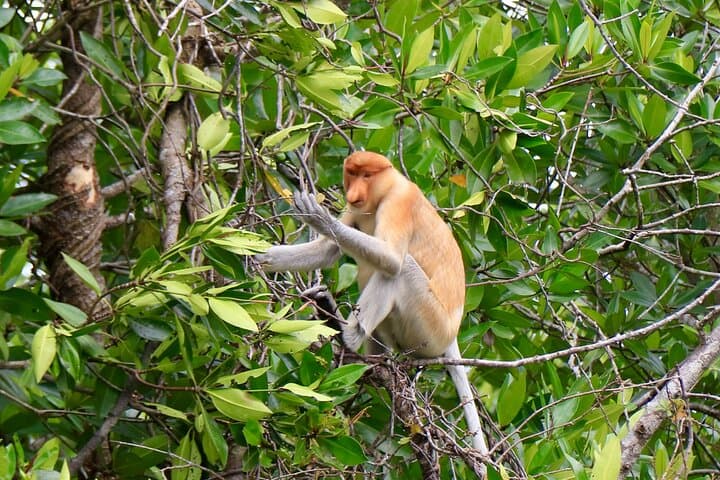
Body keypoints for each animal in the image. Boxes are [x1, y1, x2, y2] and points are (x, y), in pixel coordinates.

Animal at [257, 151, 489, 461]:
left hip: (430, 328)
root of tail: (452, 334)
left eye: (367, 176)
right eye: (352, 174)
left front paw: (317, 216)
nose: (354, 193)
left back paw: (346, 334)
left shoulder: (400, 202)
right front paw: (256, 256)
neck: (384, 191)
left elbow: (389, 258)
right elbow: (326, 251)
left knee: (398, 269)